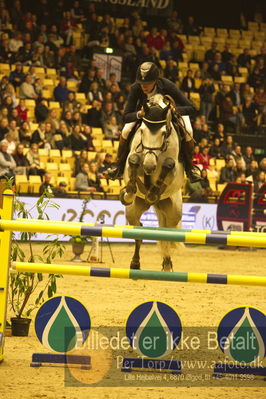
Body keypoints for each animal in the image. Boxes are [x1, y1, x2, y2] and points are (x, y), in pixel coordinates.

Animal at [120, 94, 184, 272]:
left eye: (163, 133)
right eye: (141, 130)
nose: (149, 166)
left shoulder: (174, 172)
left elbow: (169, 164)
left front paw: (153, 192)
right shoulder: (131, 164)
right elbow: (133, 160)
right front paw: (128, 193)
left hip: (174, 212)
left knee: (167, 233)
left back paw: (167, 264)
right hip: (133, 210)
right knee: (139, 230)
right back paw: (135, 263)